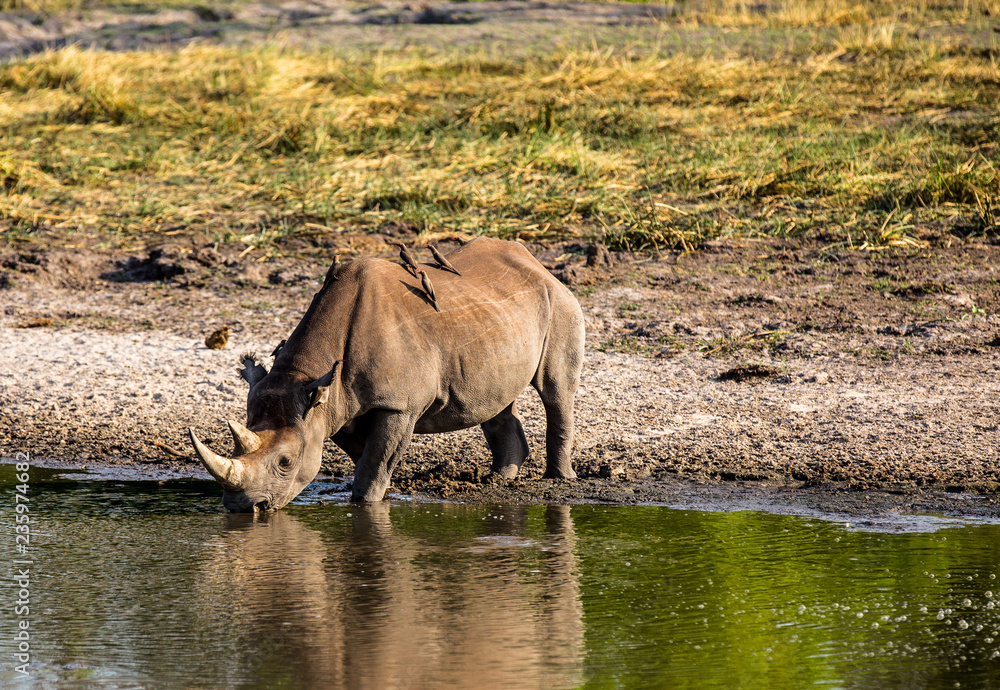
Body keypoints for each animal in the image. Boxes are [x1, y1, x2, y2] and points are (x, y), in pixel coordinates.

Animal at [189, 238, 585, 511]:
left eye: (285, 462)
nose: (243, 508)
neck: (306, 376)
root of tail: (537, 264)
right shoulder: (336, 406)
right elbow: (365, 456)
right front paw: (384, 492)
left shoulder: (397, 405)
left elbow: (376, 460)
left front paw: (367, 501)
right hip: (496, 316)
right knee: (494, 400)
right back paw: (498, 480)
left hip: (560, 302)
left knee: (555, 390)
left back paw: (559, 479)